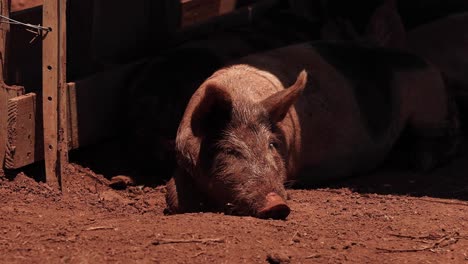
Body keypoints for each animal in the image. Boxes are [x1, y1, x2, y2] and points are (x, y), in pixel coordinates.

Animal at [165, 40, 460, 219]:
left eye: (271, 144)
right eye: (229, 150)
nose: (277, 204)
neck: (243, 97)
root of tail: (429, 64)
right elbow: (173, 197)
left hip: (429, 108)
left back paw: (419, 162)